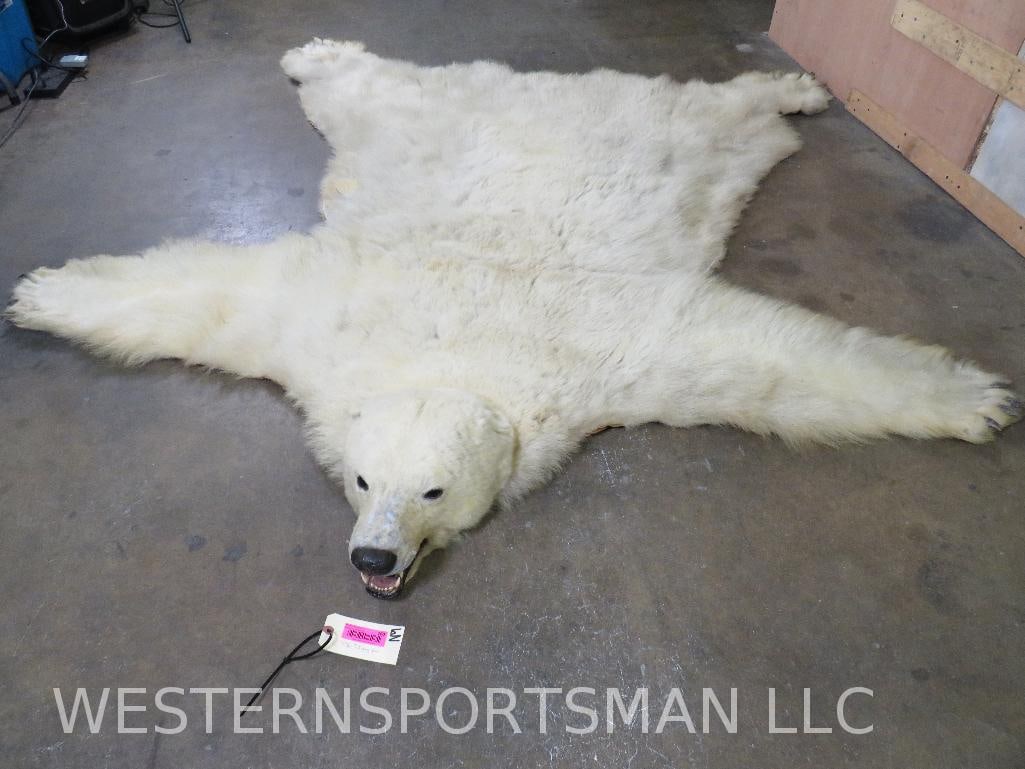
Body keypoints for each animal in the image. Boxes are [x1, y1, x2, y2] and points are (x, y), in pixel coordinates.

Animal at [7, 40, 1022, 598]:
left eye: (430, 491)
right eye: (362, 479)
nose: (373, 556)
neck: (452, 346)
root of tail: (548, 84)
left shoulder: (623, 351)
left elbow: (774, 365)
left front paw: (974, 400)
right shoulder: (313, 320)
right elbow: (199, 297)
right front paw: (38, 292)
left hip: (672, 132)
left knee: (720, 109)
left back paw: (796, 89)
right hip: (421, 123)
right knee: (369, 92)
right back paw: (312, 57)